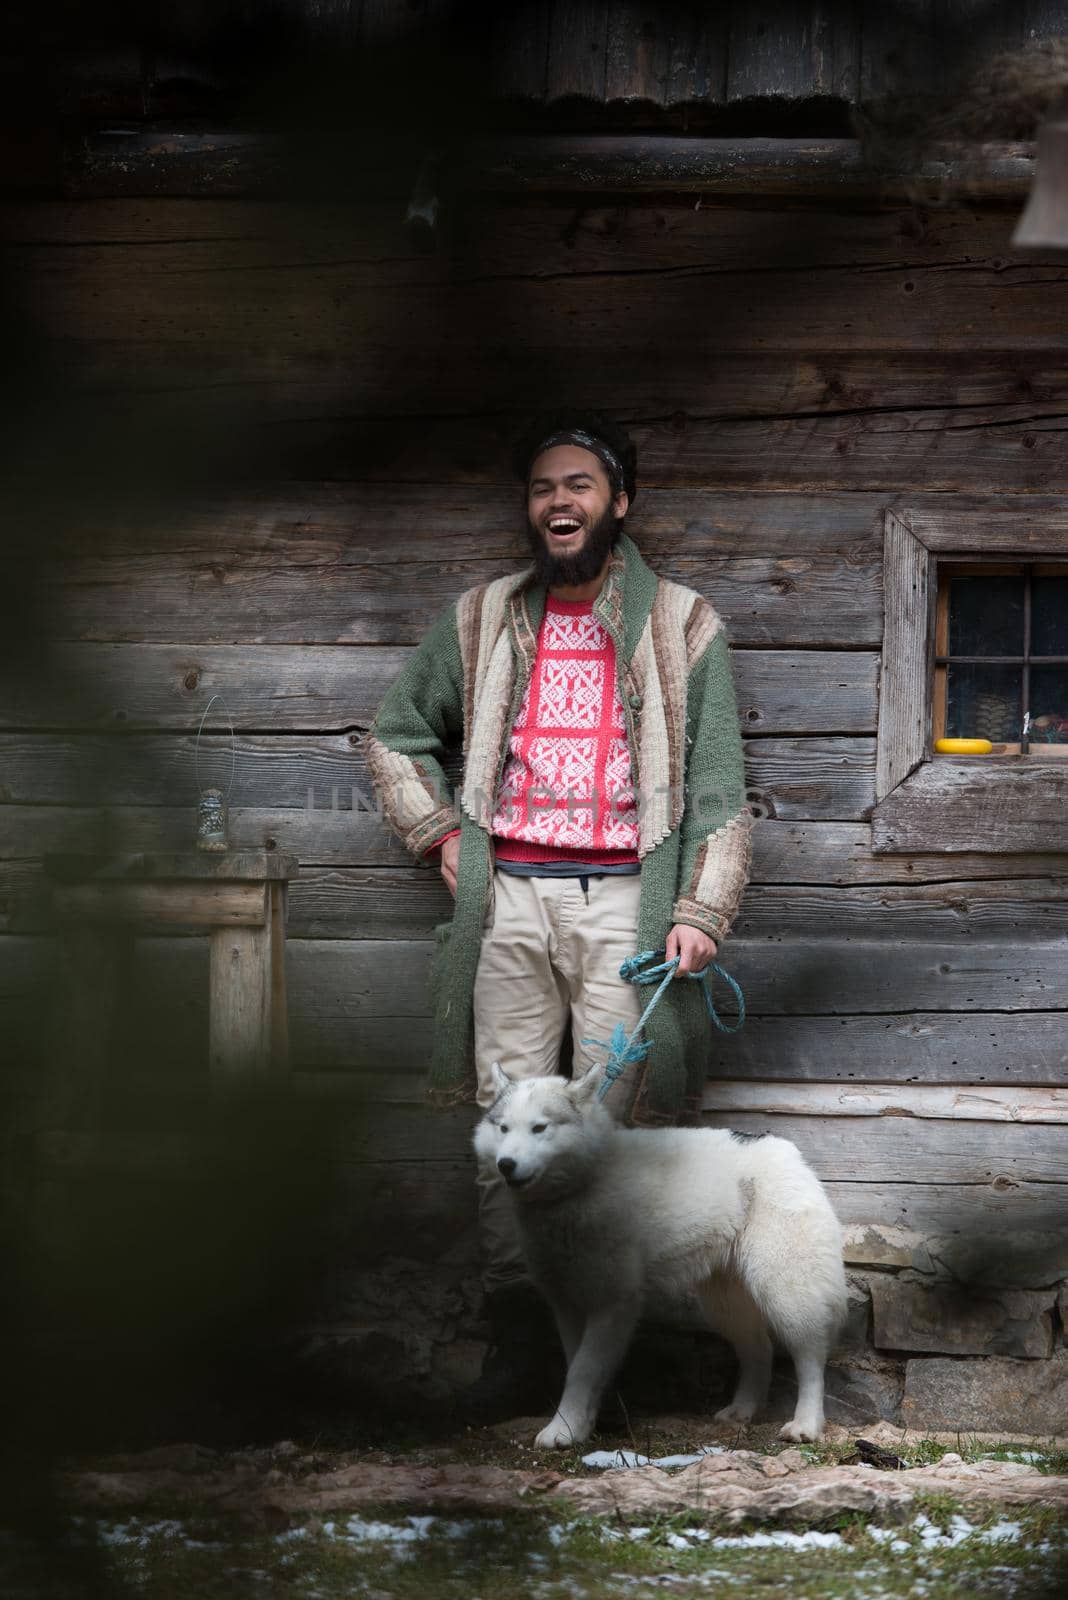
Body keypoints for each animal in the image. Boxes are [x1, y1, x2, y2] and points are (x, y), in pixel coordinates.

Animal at [470, 1062, 844, 1452]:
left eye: (539, 1128)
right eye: (503, 1128)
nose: (506, 1164)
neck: (580, 1187)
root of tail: (782, 1147)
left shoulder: (613, 1305)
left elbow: (583, 1369)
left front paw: (562, 1430)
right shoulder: (568, 1305)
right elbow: (578, 1368)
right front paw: (579, 1425)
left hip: (786, 1296)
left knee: (810, 1361)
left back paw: (806, 1424)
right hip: (725, 1305)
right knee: (760, 1350)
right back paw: (742, 1410)